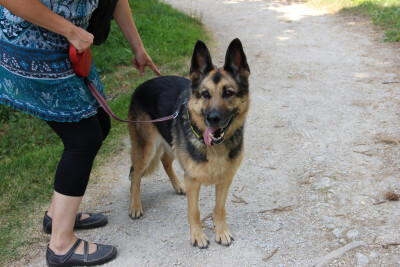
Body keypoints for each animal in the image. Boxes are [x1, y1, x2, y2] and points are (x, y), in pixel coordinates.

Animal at [128, 38, 248, 249]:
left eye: (228, 93)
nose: (212, 118)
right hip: (147, 149)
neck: (215, 147)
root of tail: (141, 85)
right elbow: (194, 212)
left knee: (165, 161)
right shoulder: (193, 180)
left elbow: (219, 208)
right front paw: (198, 236)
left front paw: (221, 232)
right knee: (135, 174)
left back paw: (177, 185)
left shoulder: (225, 179)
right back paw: (135, 206)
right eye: (205, 94)